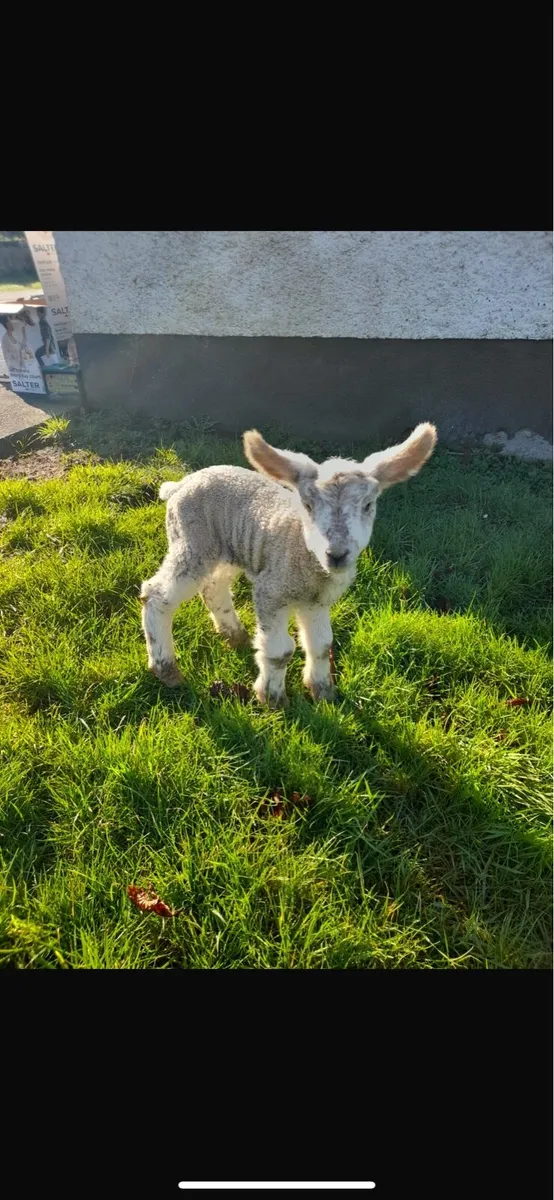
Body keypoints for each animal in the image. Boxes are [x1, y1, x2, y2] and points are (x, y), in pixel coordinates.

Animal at [140, 423, 437, 706]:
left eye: (368, 505)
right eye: (307, 505)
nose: (337, 554)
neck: (307, 557)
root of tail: (181, 483)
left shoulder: (315, 602)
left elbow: (321, 645)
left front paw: (323, 692)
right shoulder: (272, 591)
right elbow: (279, 651)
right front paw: (272, 698)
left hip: (227, 549)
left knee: (214, 587)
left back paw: (234, 635)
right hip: (192, 541)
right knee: (157, 594)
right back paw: (166, 669)